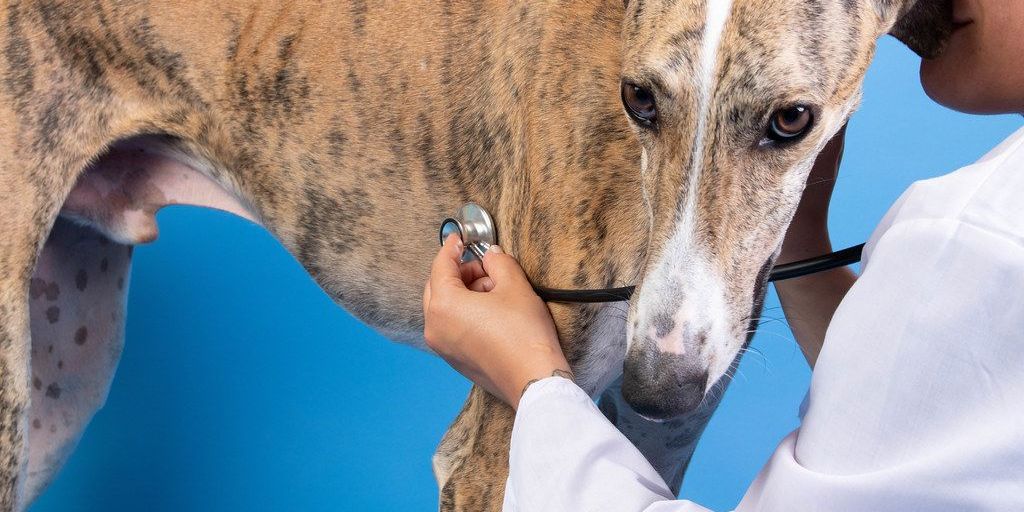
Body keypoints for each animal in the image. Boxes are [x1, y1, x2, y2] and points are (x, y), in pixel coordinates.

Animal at [0, 2, 946, 509]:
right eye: (638, 98)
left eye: (792, 119)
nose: (657, 383)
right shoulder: (496, 451)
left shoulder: (659, 440)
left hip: (58, 384)